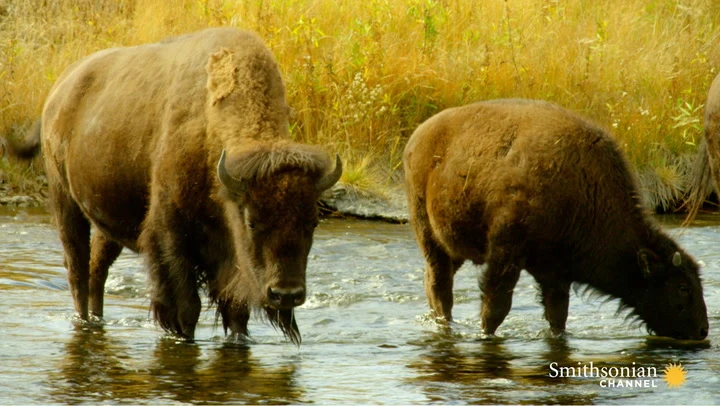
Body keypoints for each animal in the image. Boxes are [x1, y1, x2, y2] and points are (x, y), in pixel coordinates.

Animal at [41, 27, 342, 344]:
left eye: (313, 222)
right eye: (252, 222)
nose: (286, 294)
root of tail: (61, 88)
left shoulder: (228, 255)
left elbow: (236, 309)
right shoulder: (171, 235)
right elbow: (188, 307)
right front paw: (183, 338)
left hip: (106, 220)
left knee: (98, 269)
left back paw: (98, 320)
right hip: (65, 201)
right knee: (77, 268)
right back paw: (84, 320)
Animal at [403, 99, 709, 340]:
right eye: (682, 287)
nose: (703, 330)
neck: (583, 189)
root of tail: (417, 137)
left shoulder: (556, 272)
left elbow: (557, 314)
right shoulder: (506, 255)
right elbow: (496, 306)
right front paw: (486, 335)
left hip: (452, 247)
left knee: (434, 283)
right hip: (429, 236)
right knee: (440, 286)